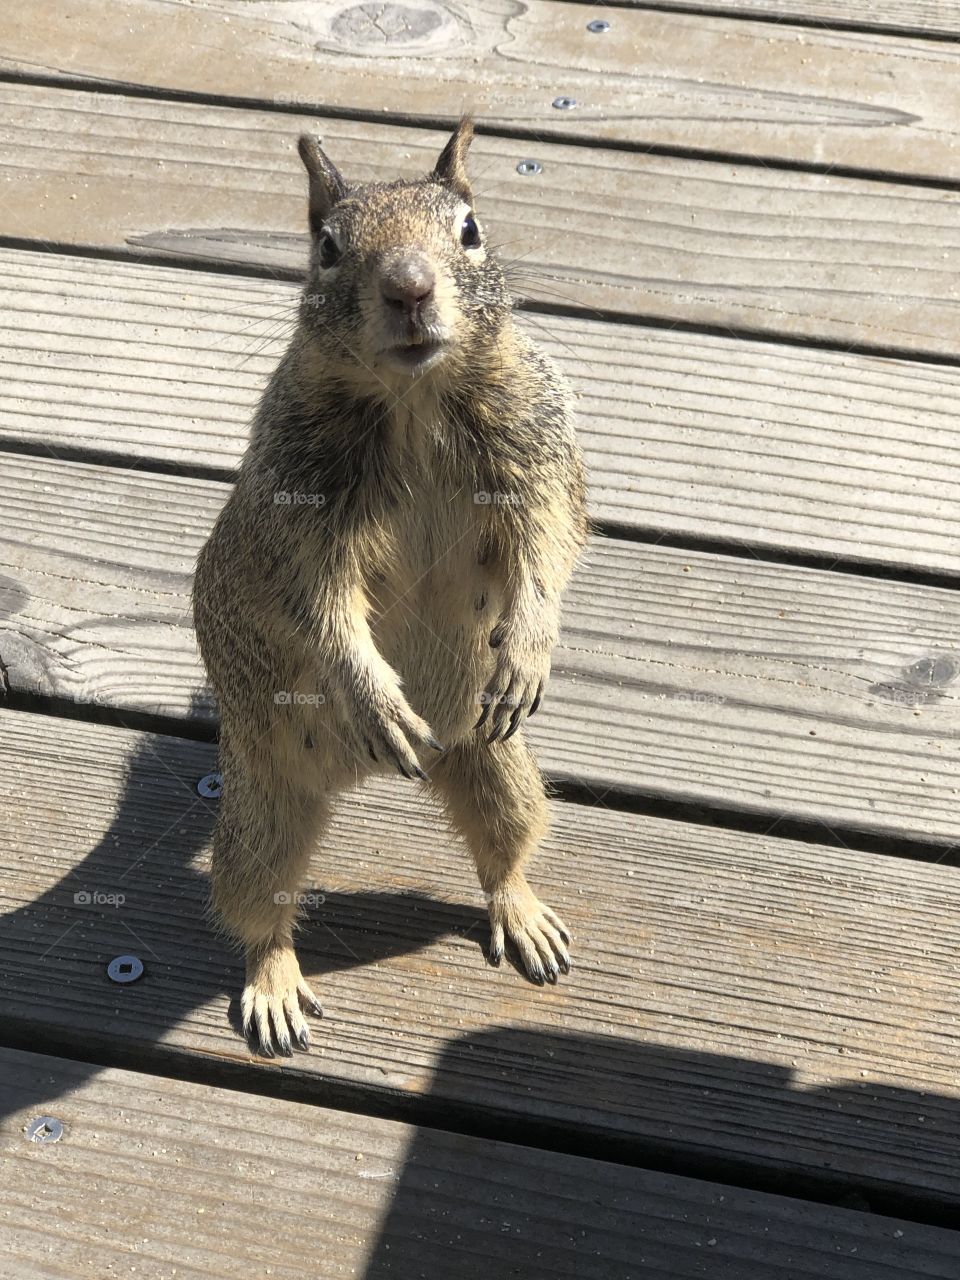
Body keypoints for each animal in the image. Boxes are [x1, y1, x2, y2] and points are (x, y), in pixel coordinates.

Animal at [193, 119, 587, 1056]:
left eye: (471, 229)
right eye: (327, 249)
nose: (409, 287)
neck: (414, 398)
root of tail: (350, 779)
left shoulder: (540, 456)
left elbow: (548, 543)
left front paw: (529, 644)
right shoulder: (296, 517)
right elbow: (323, 608)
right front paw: (373, 695)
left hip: (493, 761)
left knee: (504, 846)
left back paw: (523, 912)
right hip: (261, 807)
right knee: (259, 908)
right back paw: (273, 985)